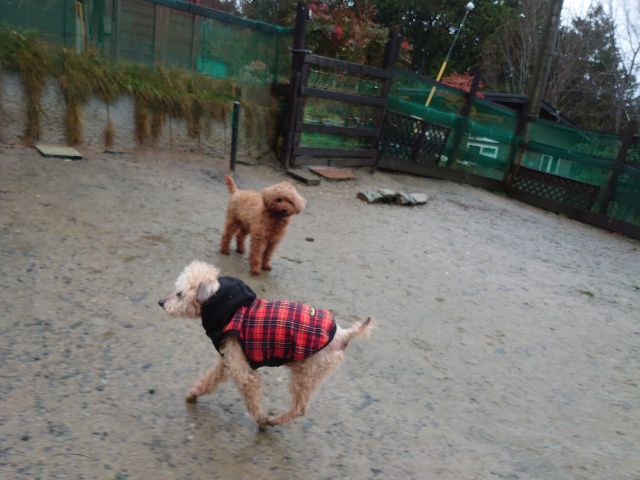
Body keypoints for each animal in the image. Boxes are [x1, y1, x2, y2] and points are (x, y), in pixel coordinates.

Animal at [158, 260, 373, 428]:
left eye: (179, 294)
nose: (160, 302)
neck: (228, 307)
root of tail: (344, 335)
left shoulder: (242, 370)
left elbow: (250, 394)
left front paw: (260, 419)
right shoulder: (227, 360)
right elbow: (209, 380)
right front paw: (193, 394)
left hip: (305, 375)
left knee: (300, 408)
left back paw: (274, 420)